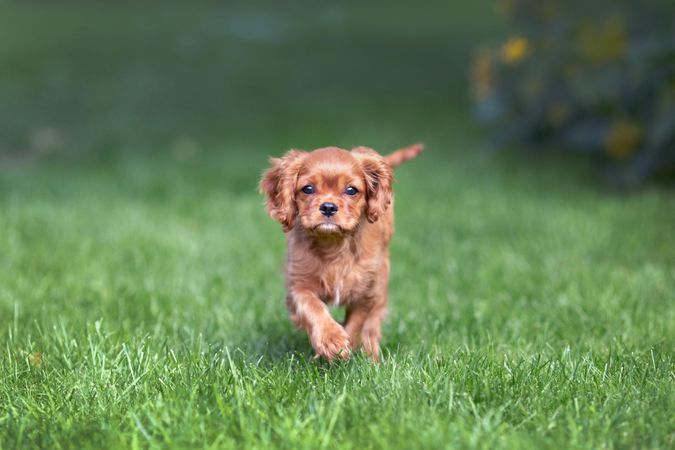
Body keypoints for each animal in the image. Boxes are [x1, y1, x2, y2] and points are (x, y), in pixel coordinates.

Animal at [260, 144, 422, 362]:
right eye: (308, 189)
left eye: (351, 190)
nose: (328, 207)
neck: (333, 244)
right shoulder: (298, 285)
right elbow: (313, 307)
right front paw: (332, 341)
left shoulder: (366, 292)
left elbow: (357, 324)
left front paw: (346, 346)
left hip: (381, 281)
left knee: (373, 323)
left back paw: (372, 357)